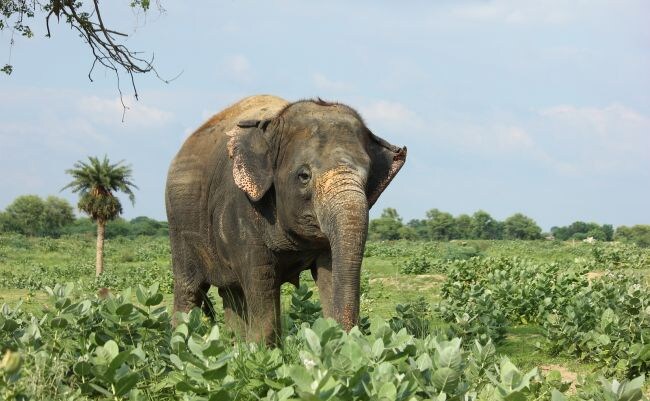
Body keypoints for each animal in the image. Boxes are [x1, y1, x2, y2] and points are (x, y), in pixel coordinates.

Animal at [165, 95, 406, 344]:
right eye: (304, 176)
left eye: (367, 176)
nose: (350, 338)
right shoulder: (240, 206)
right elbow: (260, 275)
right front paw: (263, 350)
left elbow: (330, 271)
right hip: (178, 225)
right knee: (189, 289)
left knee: (231, 292)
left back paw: (234, 344)